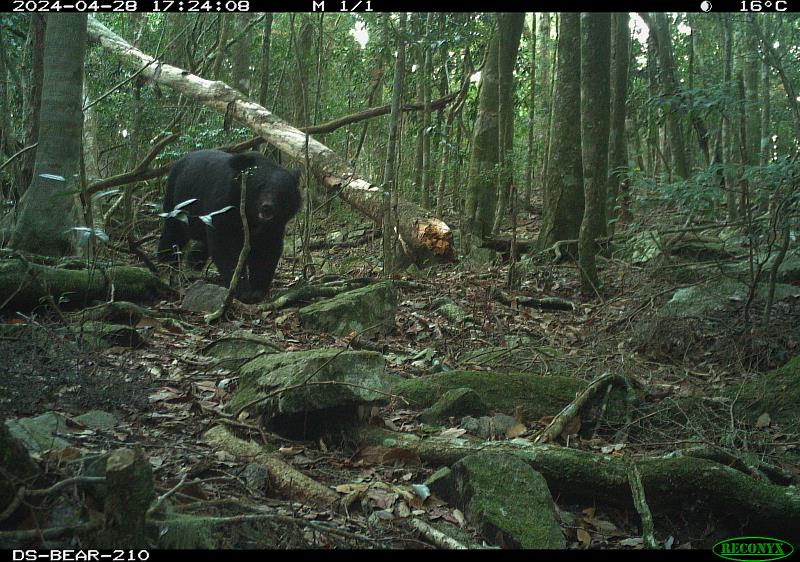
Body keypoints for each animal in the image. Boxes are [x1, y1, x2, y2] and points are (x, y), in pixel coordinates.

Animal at [158, 148, 302, 298]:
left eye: (281, 192)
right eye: (259, 187)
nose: (267, 207)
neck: (252, 217)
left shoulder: (274, 225)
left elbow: (266, 250)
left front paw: (258, 289)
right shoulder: (223, 206)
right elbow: (226, 246)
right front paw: (242, 290)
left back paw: (194, 261)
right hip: (176, 202)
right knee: (174, 233)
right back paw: (165, 263)